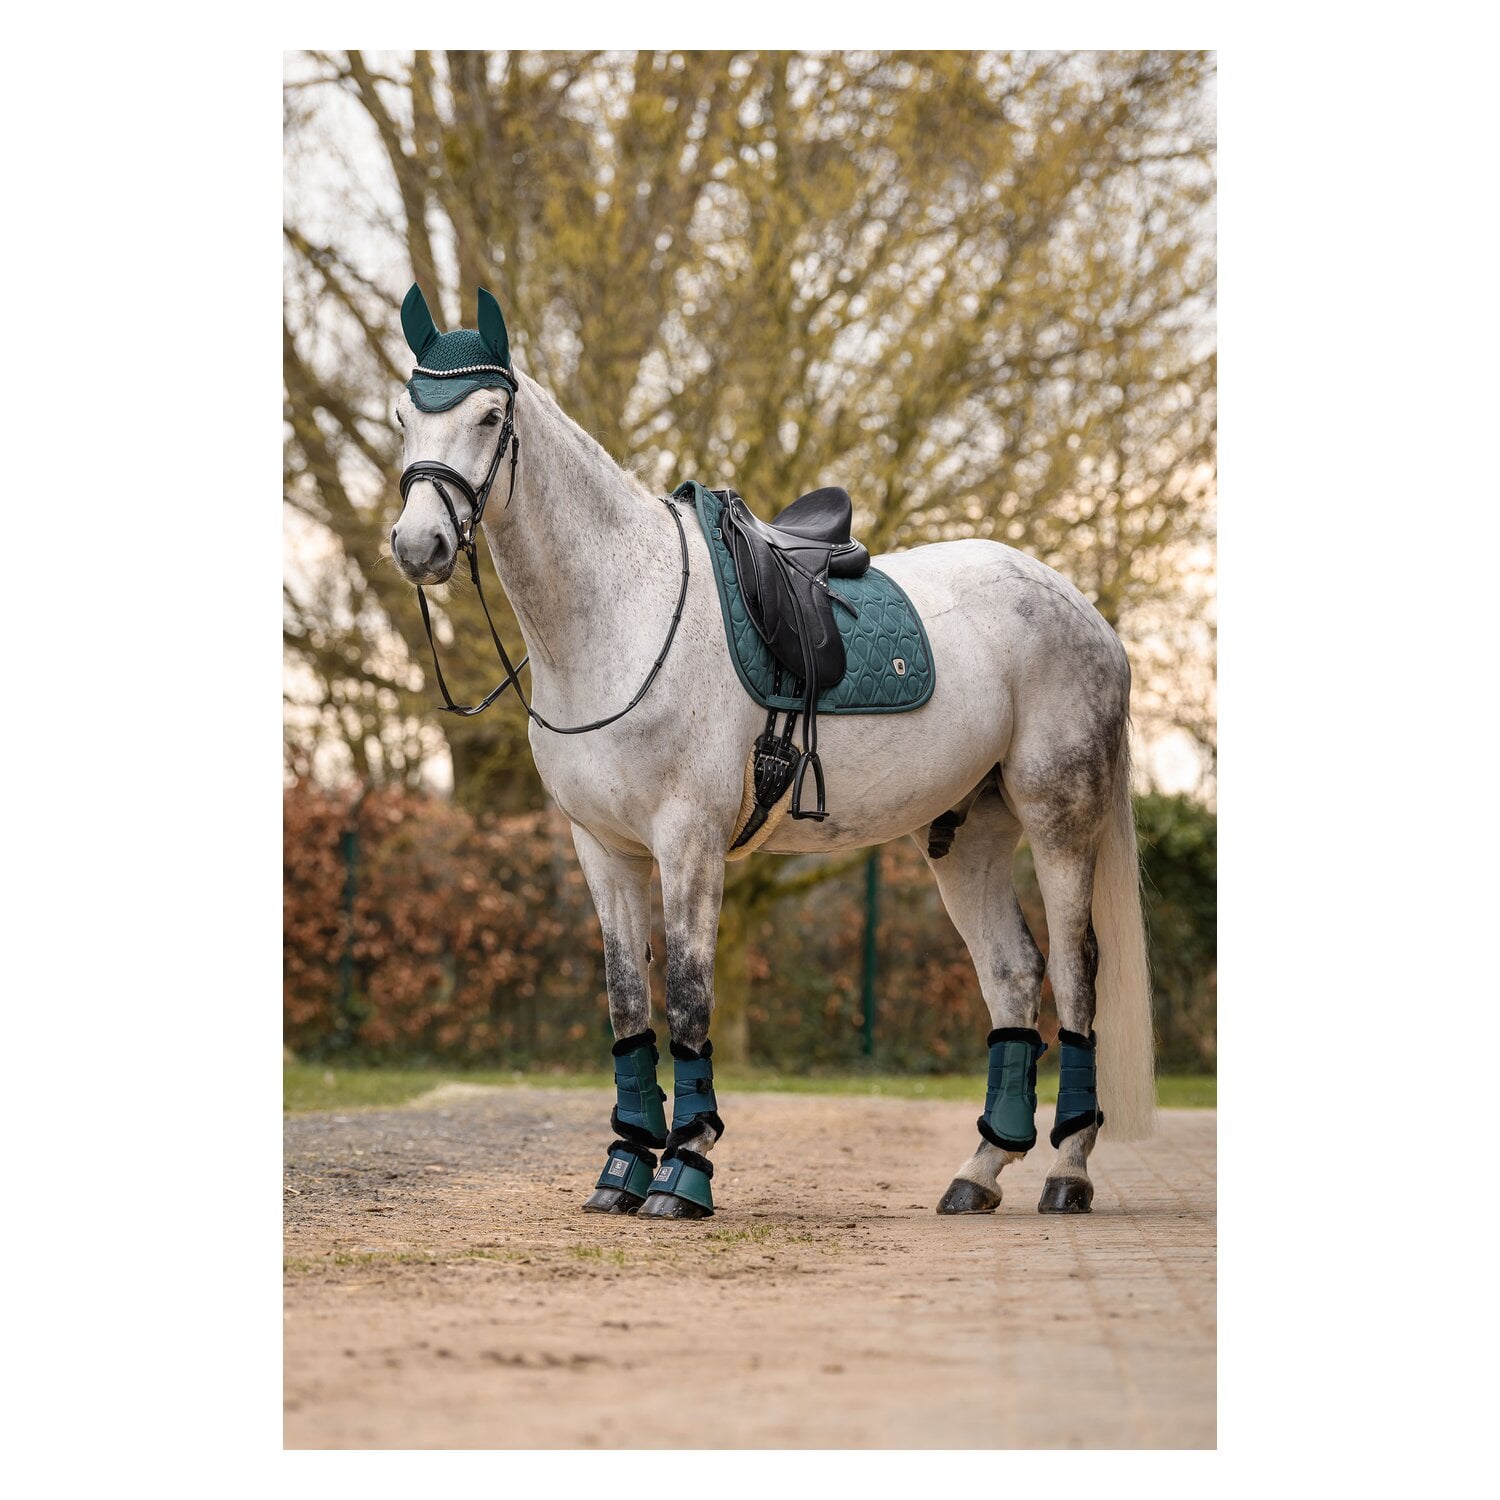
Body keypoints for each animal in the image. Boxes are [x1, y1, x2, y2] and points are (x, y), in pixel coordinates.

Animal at [387, 285, 1154, 1220]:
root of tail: (1082, 609)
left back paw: (1067, 1170)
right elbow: (627, 1007)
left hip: (1057, 818)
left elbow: (686, 999)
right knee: (1013, 975)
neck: (619, 616)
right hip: (967, 834)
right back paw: (978, 1172)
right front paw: (622, 1168)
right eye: (403, 415)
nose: (416, 546)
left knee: (1077, 974)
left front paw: (685, 1170)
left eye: (491, 414)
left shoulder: (688, 841)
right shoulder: (603, 850)